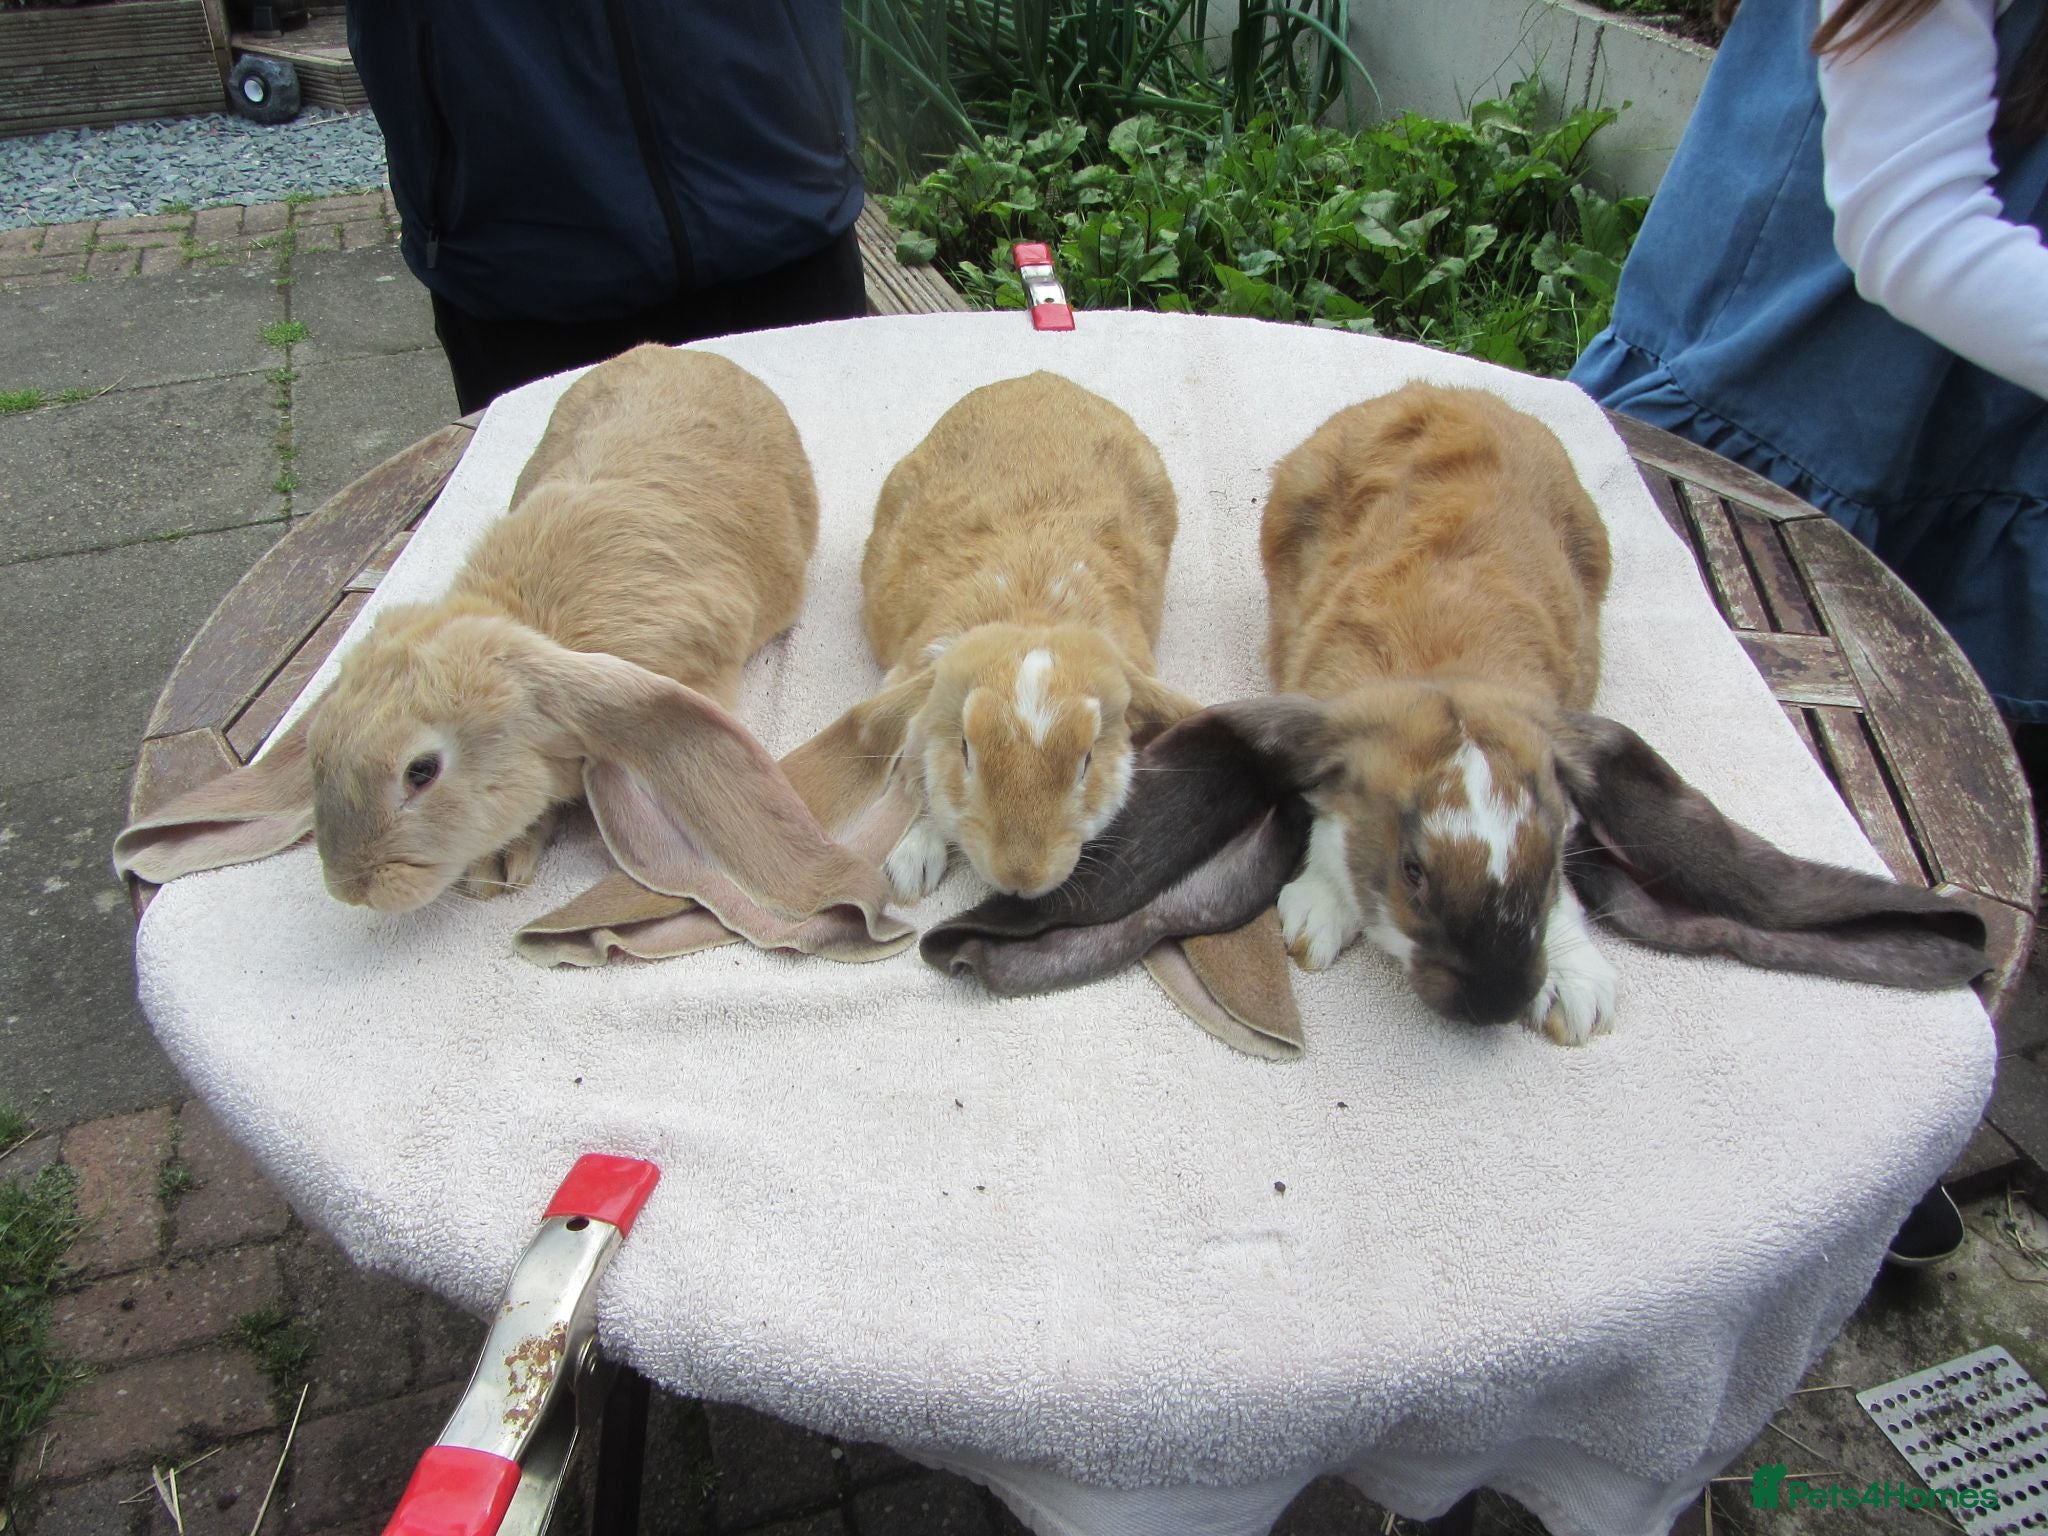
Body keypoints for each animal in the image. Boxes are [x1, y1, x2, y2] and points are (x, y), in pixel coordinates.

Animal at [115, 344, 903, 951]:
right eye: (319, 751)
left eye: (422, 771)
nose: (352, 887)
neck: (530, 622)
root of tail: (691, 352)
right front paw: (497, 865)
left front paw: (499, 868)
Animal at [790, 372, 1202, 903]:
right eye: (966, 750)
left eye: (1087, 760)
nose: (1020, 878)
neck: (1030, 614)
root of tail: (1041, 379)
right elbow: (915, 775)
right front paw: (911, 865)